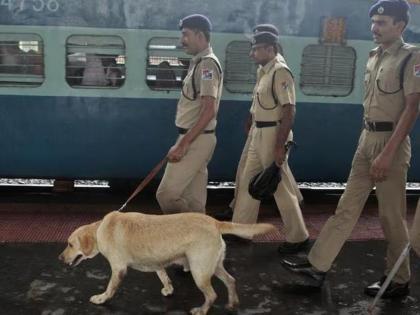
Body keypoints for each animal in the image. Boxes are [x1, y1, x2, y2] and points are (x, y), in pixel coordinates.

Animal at [59, 211, 276, 314]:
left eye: (70, 244)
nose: (60, 258)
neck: (99, 230)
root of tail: (215, 222)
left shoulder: (118, 269)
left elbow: (110, 288)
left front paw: (101, 299)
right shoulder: (157, 263)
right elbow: (164, 276)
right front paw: (169, 289)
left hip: (199, 271)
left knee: (212, 295)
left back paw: (201, 310)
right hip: (213, 267)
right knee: (231, 281)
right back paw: (232, 303)